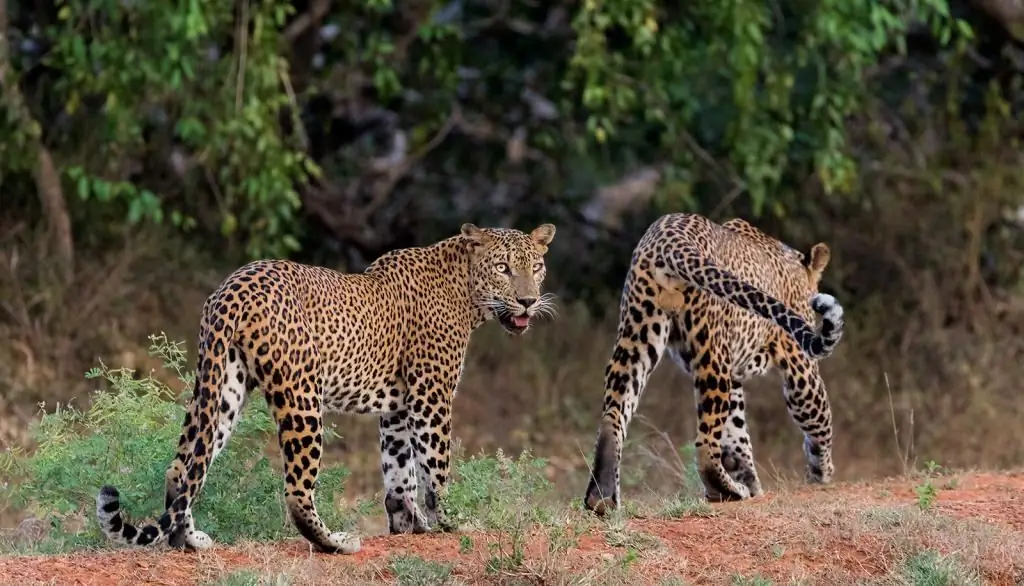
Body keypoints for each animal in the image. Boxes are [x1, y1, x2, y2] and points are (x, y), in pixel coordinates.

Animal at [94, 223, 561, 553]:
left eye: (536, 268)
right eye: (503, 268)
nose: (528, 301)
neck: (466, 293)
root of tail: (231, 289)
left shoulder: (396, 409)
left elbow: (400, 476)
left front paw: (408, 529)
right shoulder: (431, 396)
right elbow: (436, 467)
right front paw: (451, 523)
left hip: (222, 387)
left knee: (183, 468)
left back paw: (189, 541)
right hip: (301, 398)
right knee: (296, 491)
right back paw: (335, 542)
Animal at [585, 213, 847, 514]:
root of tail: (669, 237)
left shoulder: (734, 374)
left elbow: (737, 434)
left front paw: (750, 480)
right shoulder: (799, 364)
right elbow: (819, 418)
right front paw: (822, 474)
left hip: (637, 335)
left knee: (612, 416)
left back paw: (601, 497)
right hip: (711, 352)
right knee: (705, 445)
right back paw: (727, 491)